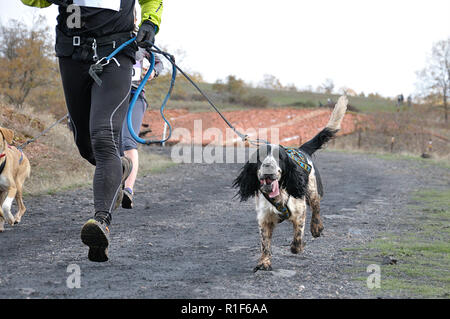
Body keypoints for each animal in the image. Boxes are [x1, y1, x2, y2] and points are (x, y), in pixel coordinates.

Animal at [232, 95, 348, 272]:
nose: (268, 168)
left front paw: (296, 247)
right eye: (260, 157)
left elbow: (298, 236)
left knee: (316, 207)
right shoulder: (264, 218)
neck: (278, 195)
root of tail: (302, 149)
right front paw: (264, 262)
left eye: (279, 157)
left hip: (312, 191)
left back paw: (316, 227)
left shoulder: (299, 211)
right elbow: (265, 243)